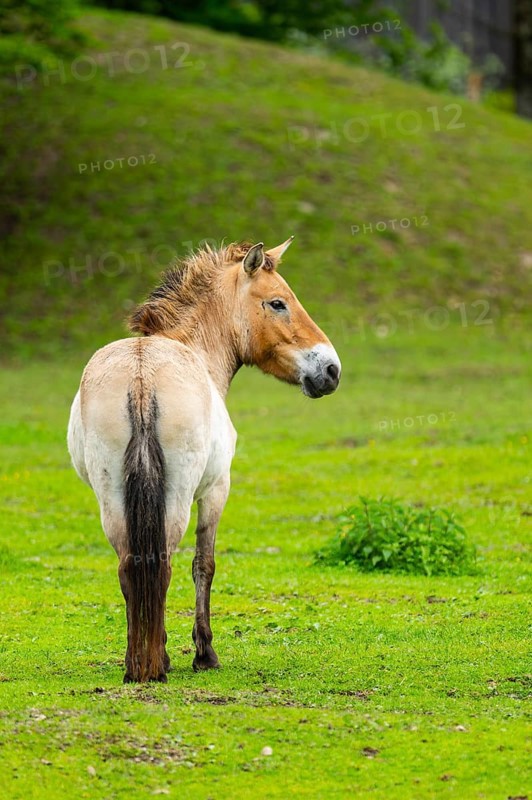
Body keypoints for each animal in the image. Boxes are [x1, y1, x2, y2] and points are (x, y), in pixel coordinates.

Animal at [67, 238, 341, 683]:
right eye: (278, 303)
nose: (331, 370)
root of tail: (142, 376)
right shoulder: (216, 490)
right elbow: (204, 565)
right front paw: (204, 652)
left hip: (111, 498)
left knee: (129, 565)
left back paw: (136, 662)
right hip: (177, 497)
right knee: (162, 564)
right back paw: (157, 663)